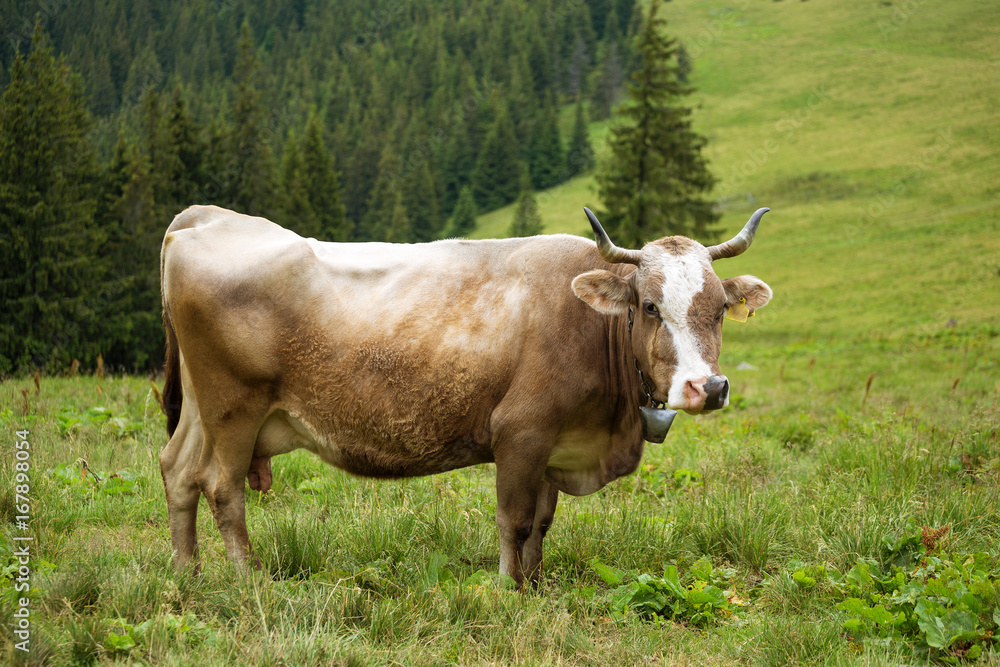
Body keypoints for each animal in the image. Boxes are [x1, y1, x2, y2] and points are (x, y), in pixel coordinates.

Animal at [158, 206, 772, 588]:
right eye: (649, 306)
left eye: (720, 307)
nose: (707, 387)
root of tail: (209, 217)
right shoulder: (520, 432)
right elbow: (514, 520)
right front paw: (507, 589)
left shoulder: (555, 444)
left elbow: (542, 523)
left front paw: (536, 585)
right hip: (234, 407)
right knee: (221, 487)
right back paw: (248, 581)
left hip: (201, 410)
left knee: (177, 470)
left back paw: (187, 574)